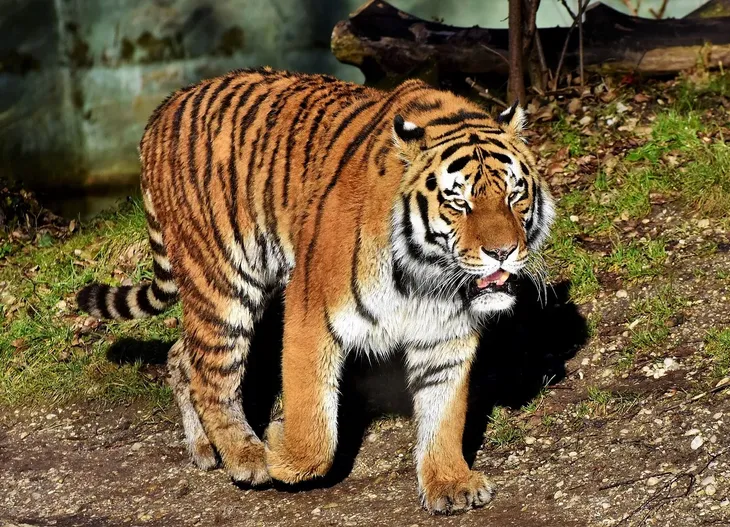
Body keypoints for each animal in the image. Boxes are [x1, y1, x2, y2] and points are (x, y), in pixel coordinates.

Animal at [76, 67, 554, 514]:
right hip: (223, 283)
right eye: (459, 203)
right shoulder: (311, 310)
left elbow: (445, 413)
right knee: (212, 376)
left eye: (515, 195)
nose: (502, 252)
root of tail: (164, 108)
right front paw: (279, 449)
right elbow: (314, 425)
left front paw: (450, 482)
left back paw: (205, 447)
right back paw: (246, 456)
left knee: (182, 355)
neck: (426, 274)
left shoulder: (445, 333)